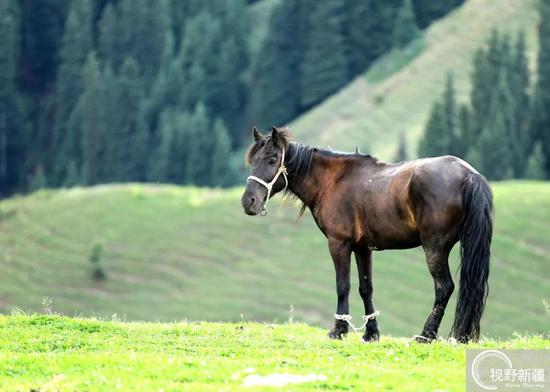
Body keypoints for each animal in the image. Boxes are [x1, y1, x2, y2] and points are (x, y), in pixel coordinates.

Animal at [243, 126, 496, 344]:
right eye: (252, 161)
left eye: (272, 159)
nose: (248, 202)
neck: (333, 181)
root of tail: (469, 175)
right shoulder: (363, 248)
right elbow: (366, 288)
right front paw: (371, 333)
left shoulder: (339, 244)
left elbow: (342, 285)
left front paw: (339, 330)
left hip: (435, 247)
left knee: (444, 287)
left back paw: (426, 335)